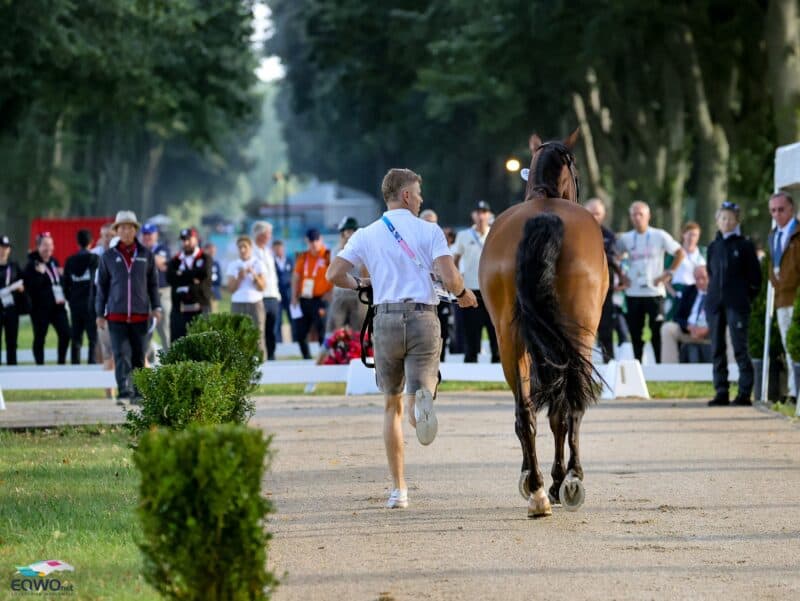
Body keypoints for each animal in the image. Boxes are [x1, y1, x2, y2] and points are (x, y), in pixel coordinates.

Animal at [478, 129, 608, 516]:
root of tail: (545, 217)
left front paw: (544, 481)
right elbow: (561, 412)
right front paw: (559, 480)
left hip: (509, 340)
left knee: (526, 413)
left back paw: (536, 491)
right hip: (580, 335)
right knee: (572, 404)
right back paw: (569, 480)